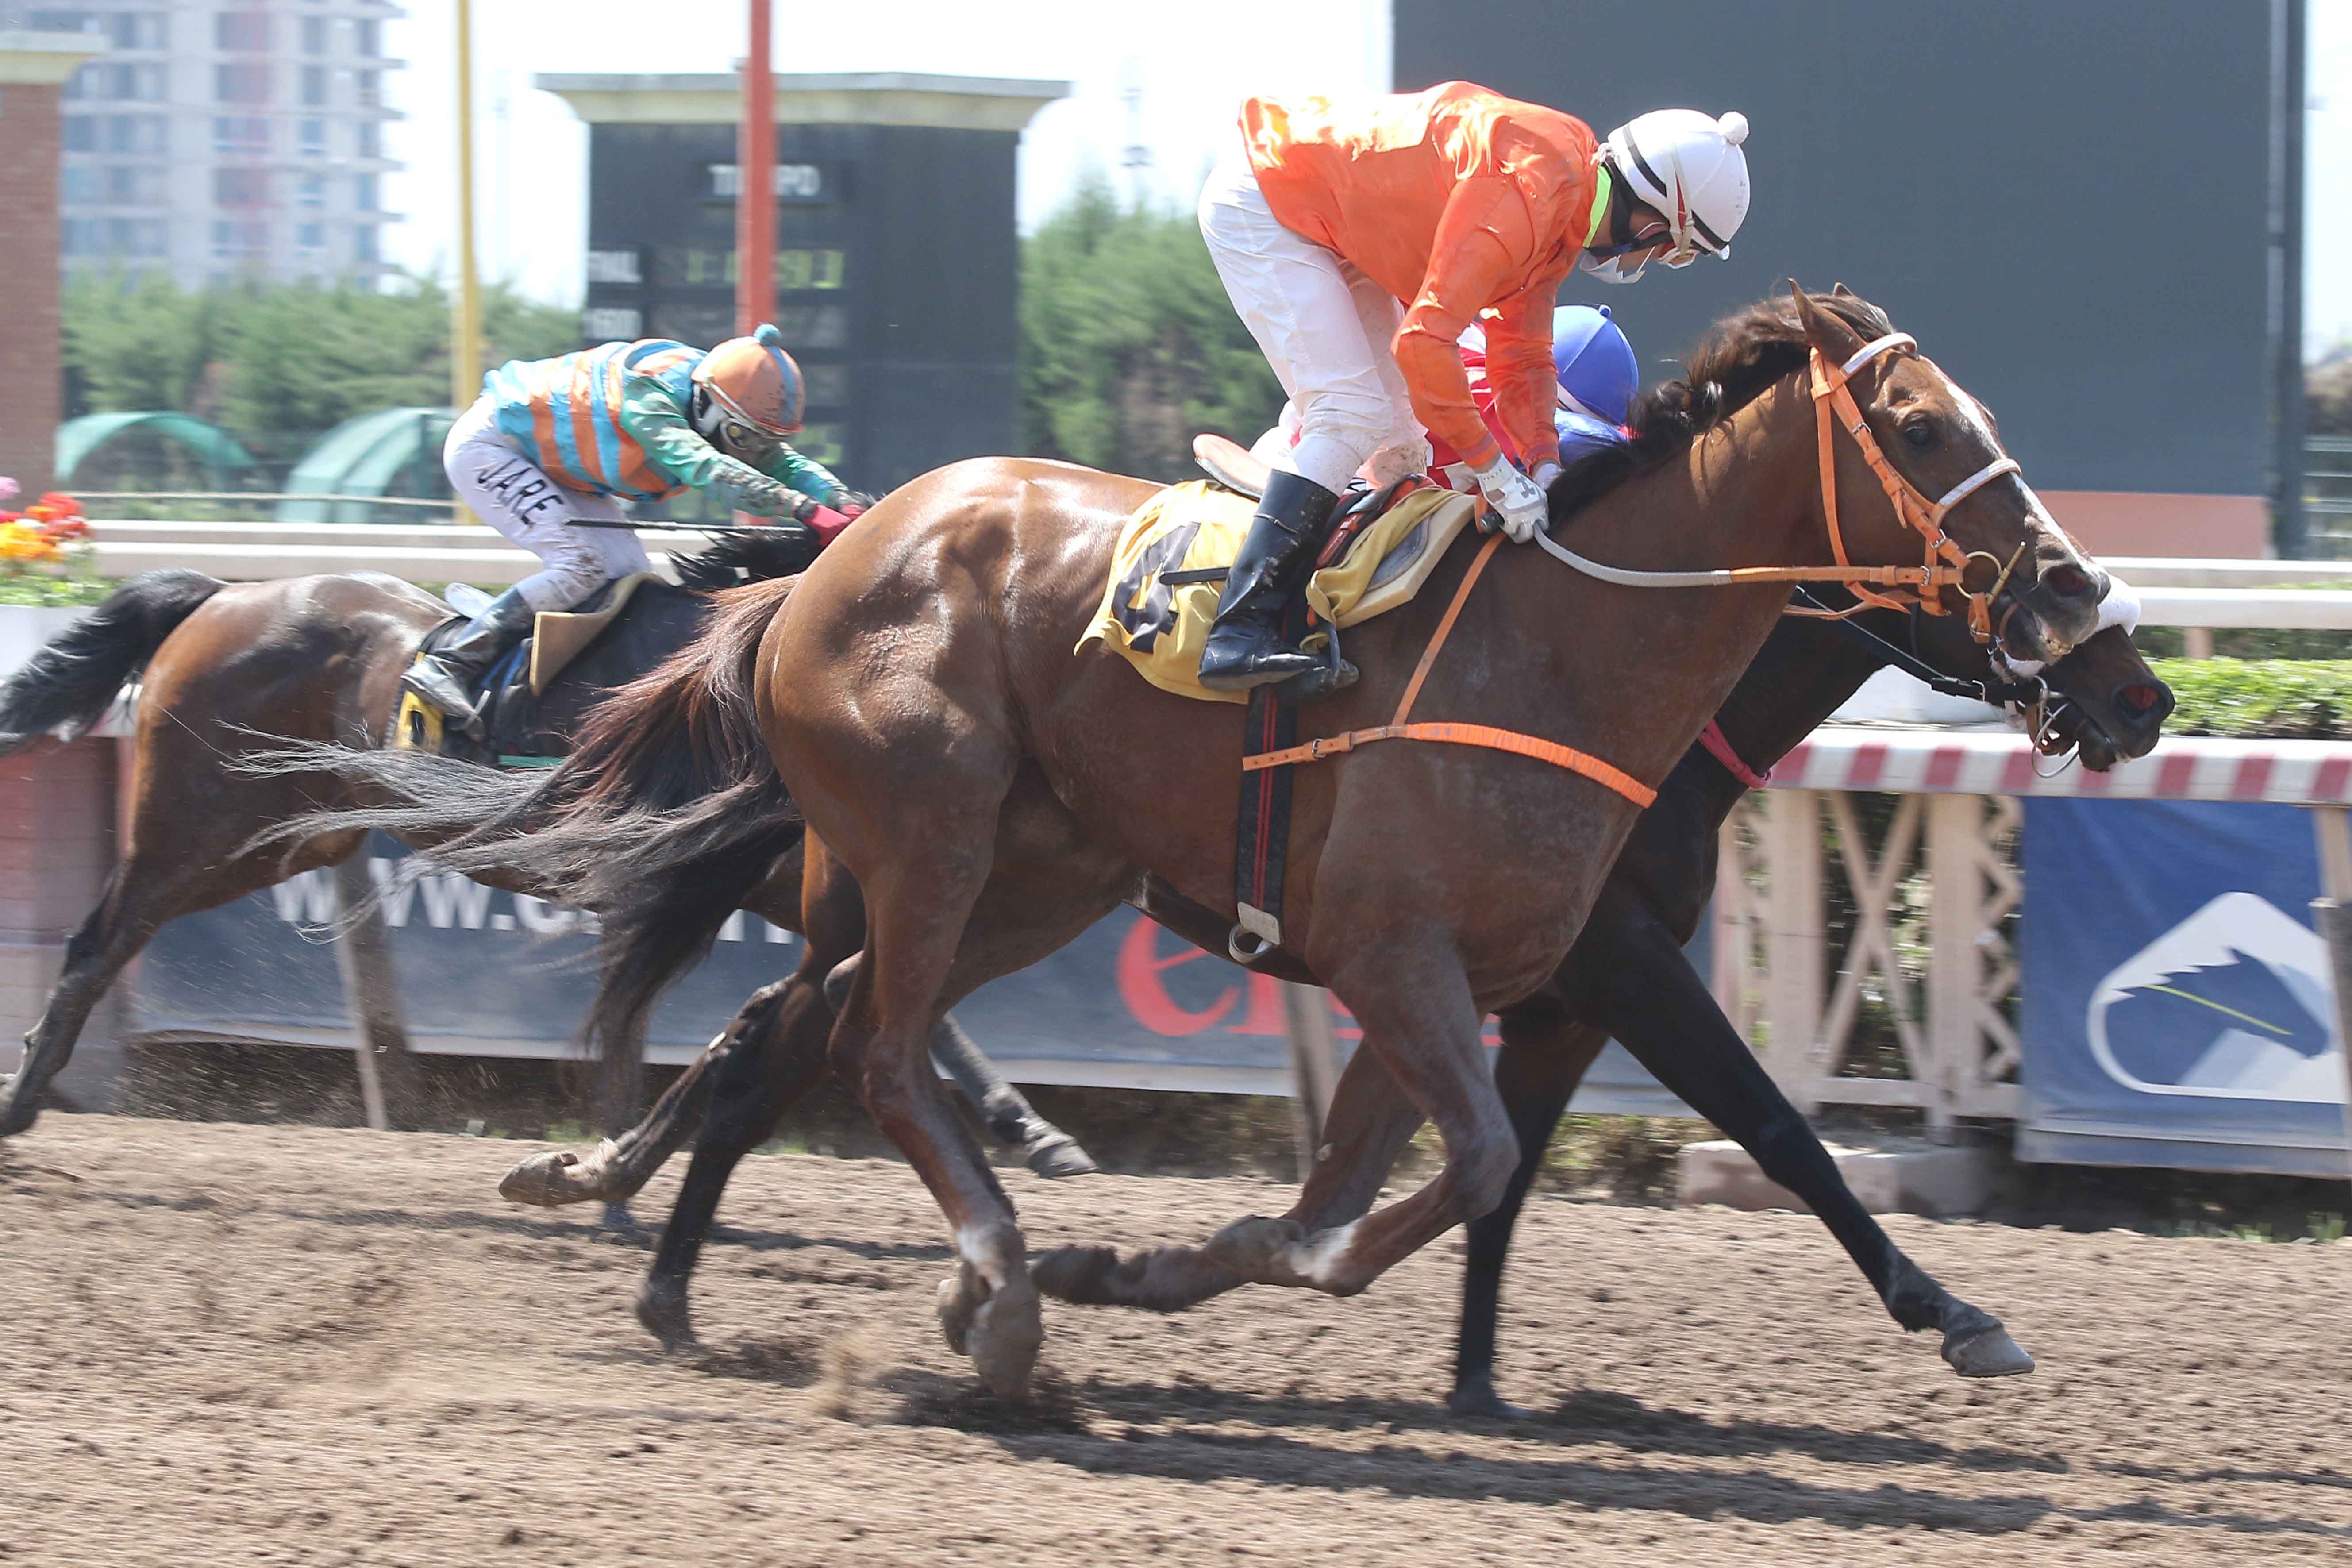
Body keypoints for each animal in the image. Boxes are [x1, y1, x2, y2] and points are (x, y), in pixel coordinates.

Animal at [0, 533, 1093, 1180]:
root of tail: (220, 596)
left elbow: (898, 1004)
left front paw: (1035, 1129)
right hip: (198, 821)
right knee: (99, 940)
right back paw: (20, 1098)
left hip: (288, 835)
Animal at [271, 285, 2114, 1399]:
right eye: (1926, 430)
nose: (2102, 631)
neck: (1561, 655)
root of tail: (824, 565)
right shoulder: (1453, 956)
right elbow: (1617, 1152)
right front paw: (1955, 1314)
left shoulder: (1464, 973)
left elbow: (1397, 1187)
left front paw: (1176, 1269)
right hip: (930, 841)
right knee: (865, 1050)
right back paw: (987, 1284)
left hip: (1032, 875)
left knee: (801, 1032)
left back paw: (675, 1253)